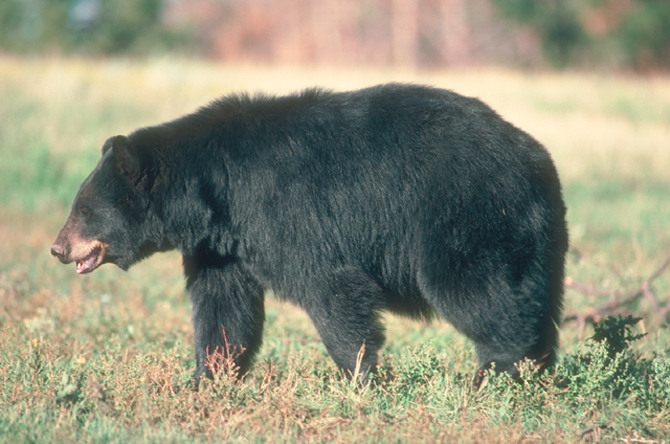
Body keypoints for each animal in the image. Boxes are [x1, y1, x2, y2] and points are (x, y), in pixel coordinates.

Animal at [51, 83, 568, 386]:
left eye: (85, 209)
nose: (58, 247)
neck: (214, 192)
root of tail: (537, 157)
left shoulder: (286, 210)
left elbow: (330, 286)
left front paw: (359, 378)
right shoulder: (221, 246)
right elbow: (223, 306)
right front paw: (205, 379)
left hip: (467, 214)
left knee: (478, 293)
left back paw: (497, 373)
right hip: (535, 238)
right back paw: (536, 371)